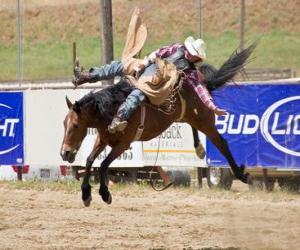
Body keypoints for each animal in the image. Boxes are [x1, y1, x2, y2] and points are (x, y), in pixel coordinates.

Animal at [60, 44, 255, 206]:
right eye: (64, 124)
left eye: (75, 125)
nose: (65, 152)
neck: (112, 109)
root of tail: (203, 84)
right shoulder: (102, 139)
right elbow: (90, 160)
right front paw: (86, 194)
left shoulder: (123, 144)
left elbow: (103, 164)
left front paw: (105, 194)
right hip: (186, 117)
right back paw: (199, 148)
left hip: (205, 121)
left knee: (222, 143)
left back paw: (242, 175)